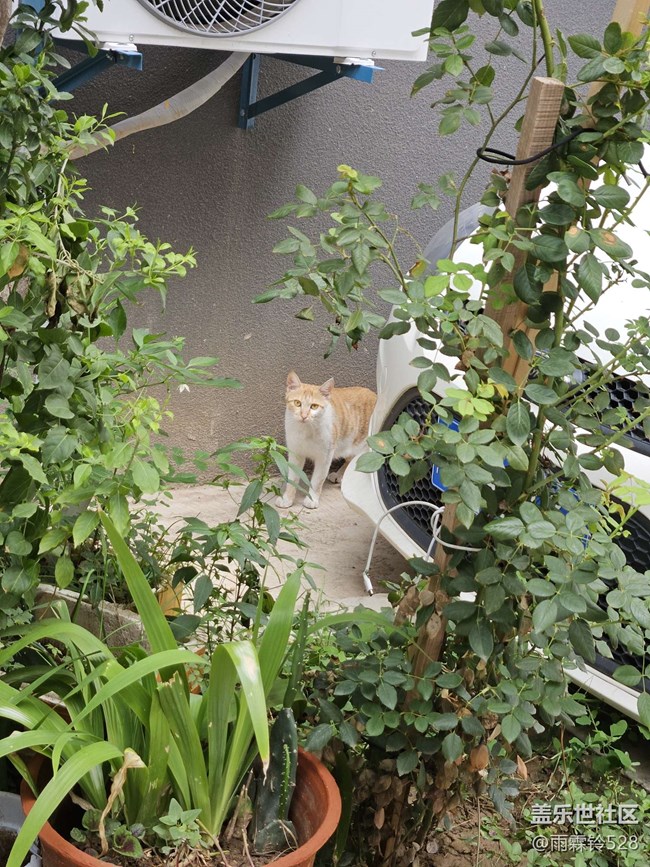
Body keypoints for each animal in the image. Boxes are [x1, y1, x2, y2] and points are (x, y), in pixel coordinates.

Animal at [275, 371, 377, 510]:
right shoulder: (295, 454)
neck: (306, 430)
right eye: (297, 403)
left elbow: (317, 481)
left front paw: (311, 499)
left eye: (314, 406)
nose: (304, 415)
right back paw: (339, 475)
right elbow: (292, 479)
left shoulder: (324, 457)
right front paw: (287, 499)